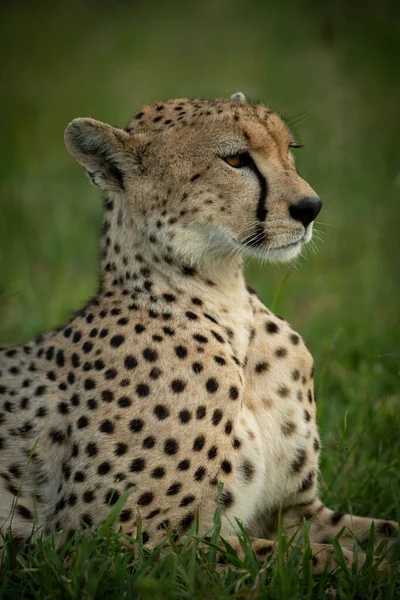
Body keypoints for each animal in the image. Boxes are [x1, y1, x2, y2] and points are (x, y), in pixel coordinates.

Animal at [0, 92, 398, 572]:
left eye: (290, 150)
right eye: (235, 159)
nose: (310, 208)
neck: (225, 301)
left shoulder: (293, 511)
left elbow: (376, 535)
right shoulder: (109, 544)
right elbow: (314, 559)